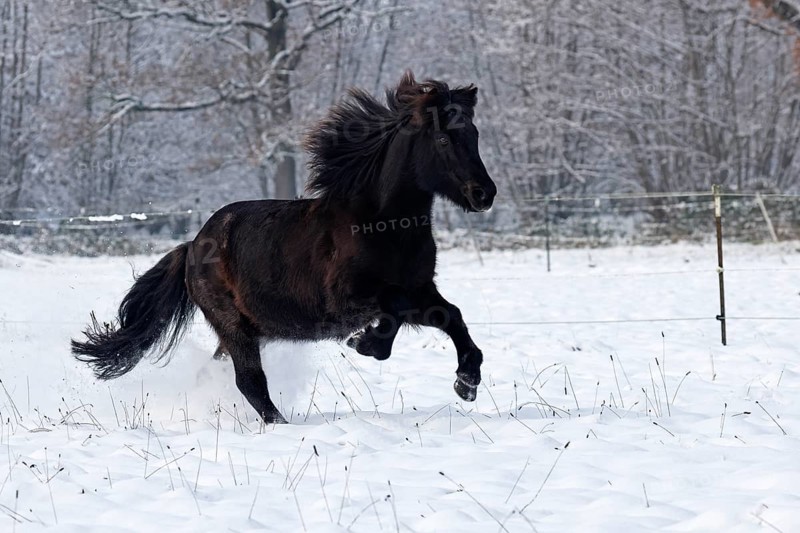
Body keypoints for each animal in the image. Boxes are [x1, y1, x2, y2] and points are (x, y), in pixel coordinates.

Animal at [71, 71, 497, 424]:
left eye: (475, 135)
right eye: (443, 138)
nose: (485, 194)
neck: (383, 225)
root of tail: (192, 245)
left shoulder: (421, 287)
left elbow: (451, 316)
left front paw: (467, 381)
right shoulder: (347, 300)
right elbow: (394, 311)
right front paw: (365, 342)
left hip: (243, 331)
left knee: (223, 373)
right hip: (233, 325)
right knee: (250, 381)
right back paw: (280, 424)